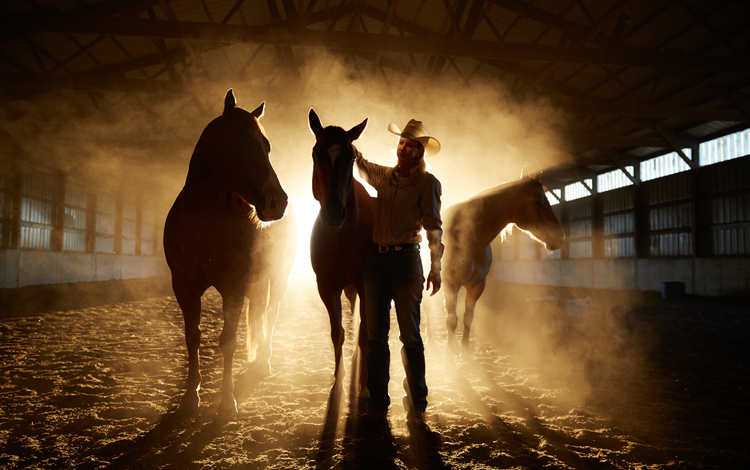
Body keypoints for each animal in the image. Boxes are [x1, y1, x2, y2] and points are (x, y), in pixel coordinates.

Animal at [164, 90, 296, 420]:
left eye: (267, 146)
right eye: (238, 144)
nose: (277, 202)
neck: (205, 220)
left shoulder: (233, 288)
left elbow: (228, 341)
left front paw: (226, 402)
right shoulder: (183, 286)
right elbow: (193, 337)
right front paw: (190, 397)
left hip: (278, 277)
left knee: (271, 314)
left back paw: (264, 361)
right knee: (259, 314)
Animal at [446, 176, 564, 352]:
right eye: (537, 202)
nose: (560, 237)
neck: (468, 239)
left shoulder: (477, 285)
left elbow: (468, 318)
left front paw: (465, 351)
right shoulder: (450, 283)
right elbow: (451, 321)